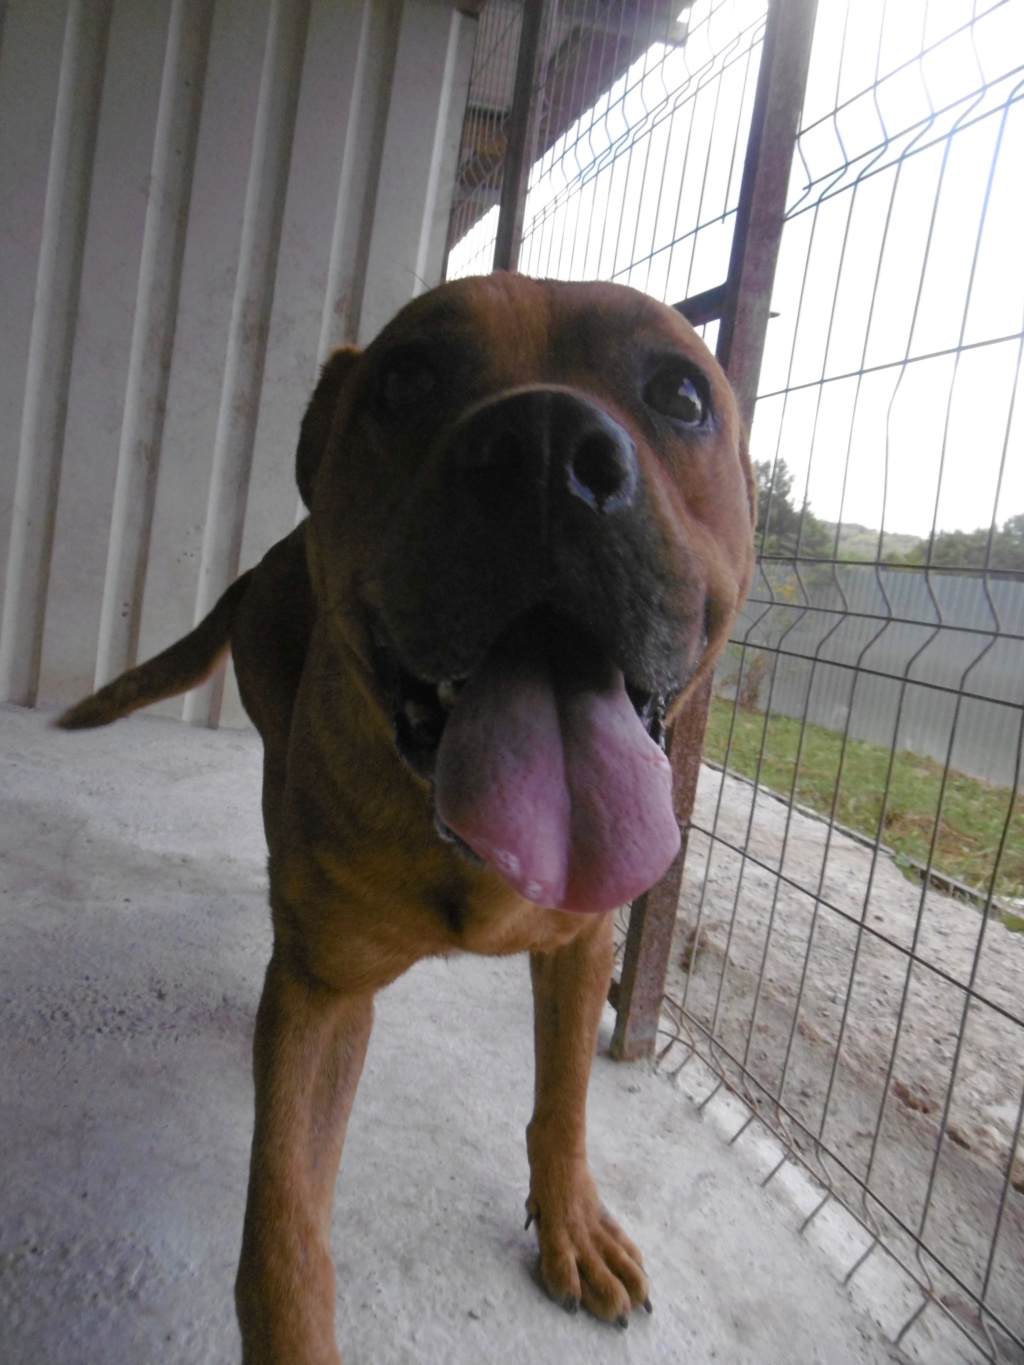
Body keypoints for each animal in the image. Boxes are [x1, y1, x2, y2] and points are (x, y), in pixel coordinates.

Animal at [60, 271, 759, 1359]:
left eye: (681, 396)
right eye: (406, 380)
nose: (545, 450)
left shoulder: (585, 945)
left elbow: (564, 1097)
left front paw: (569, 1219)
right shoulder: (322, 996)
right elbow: (284, 1224)